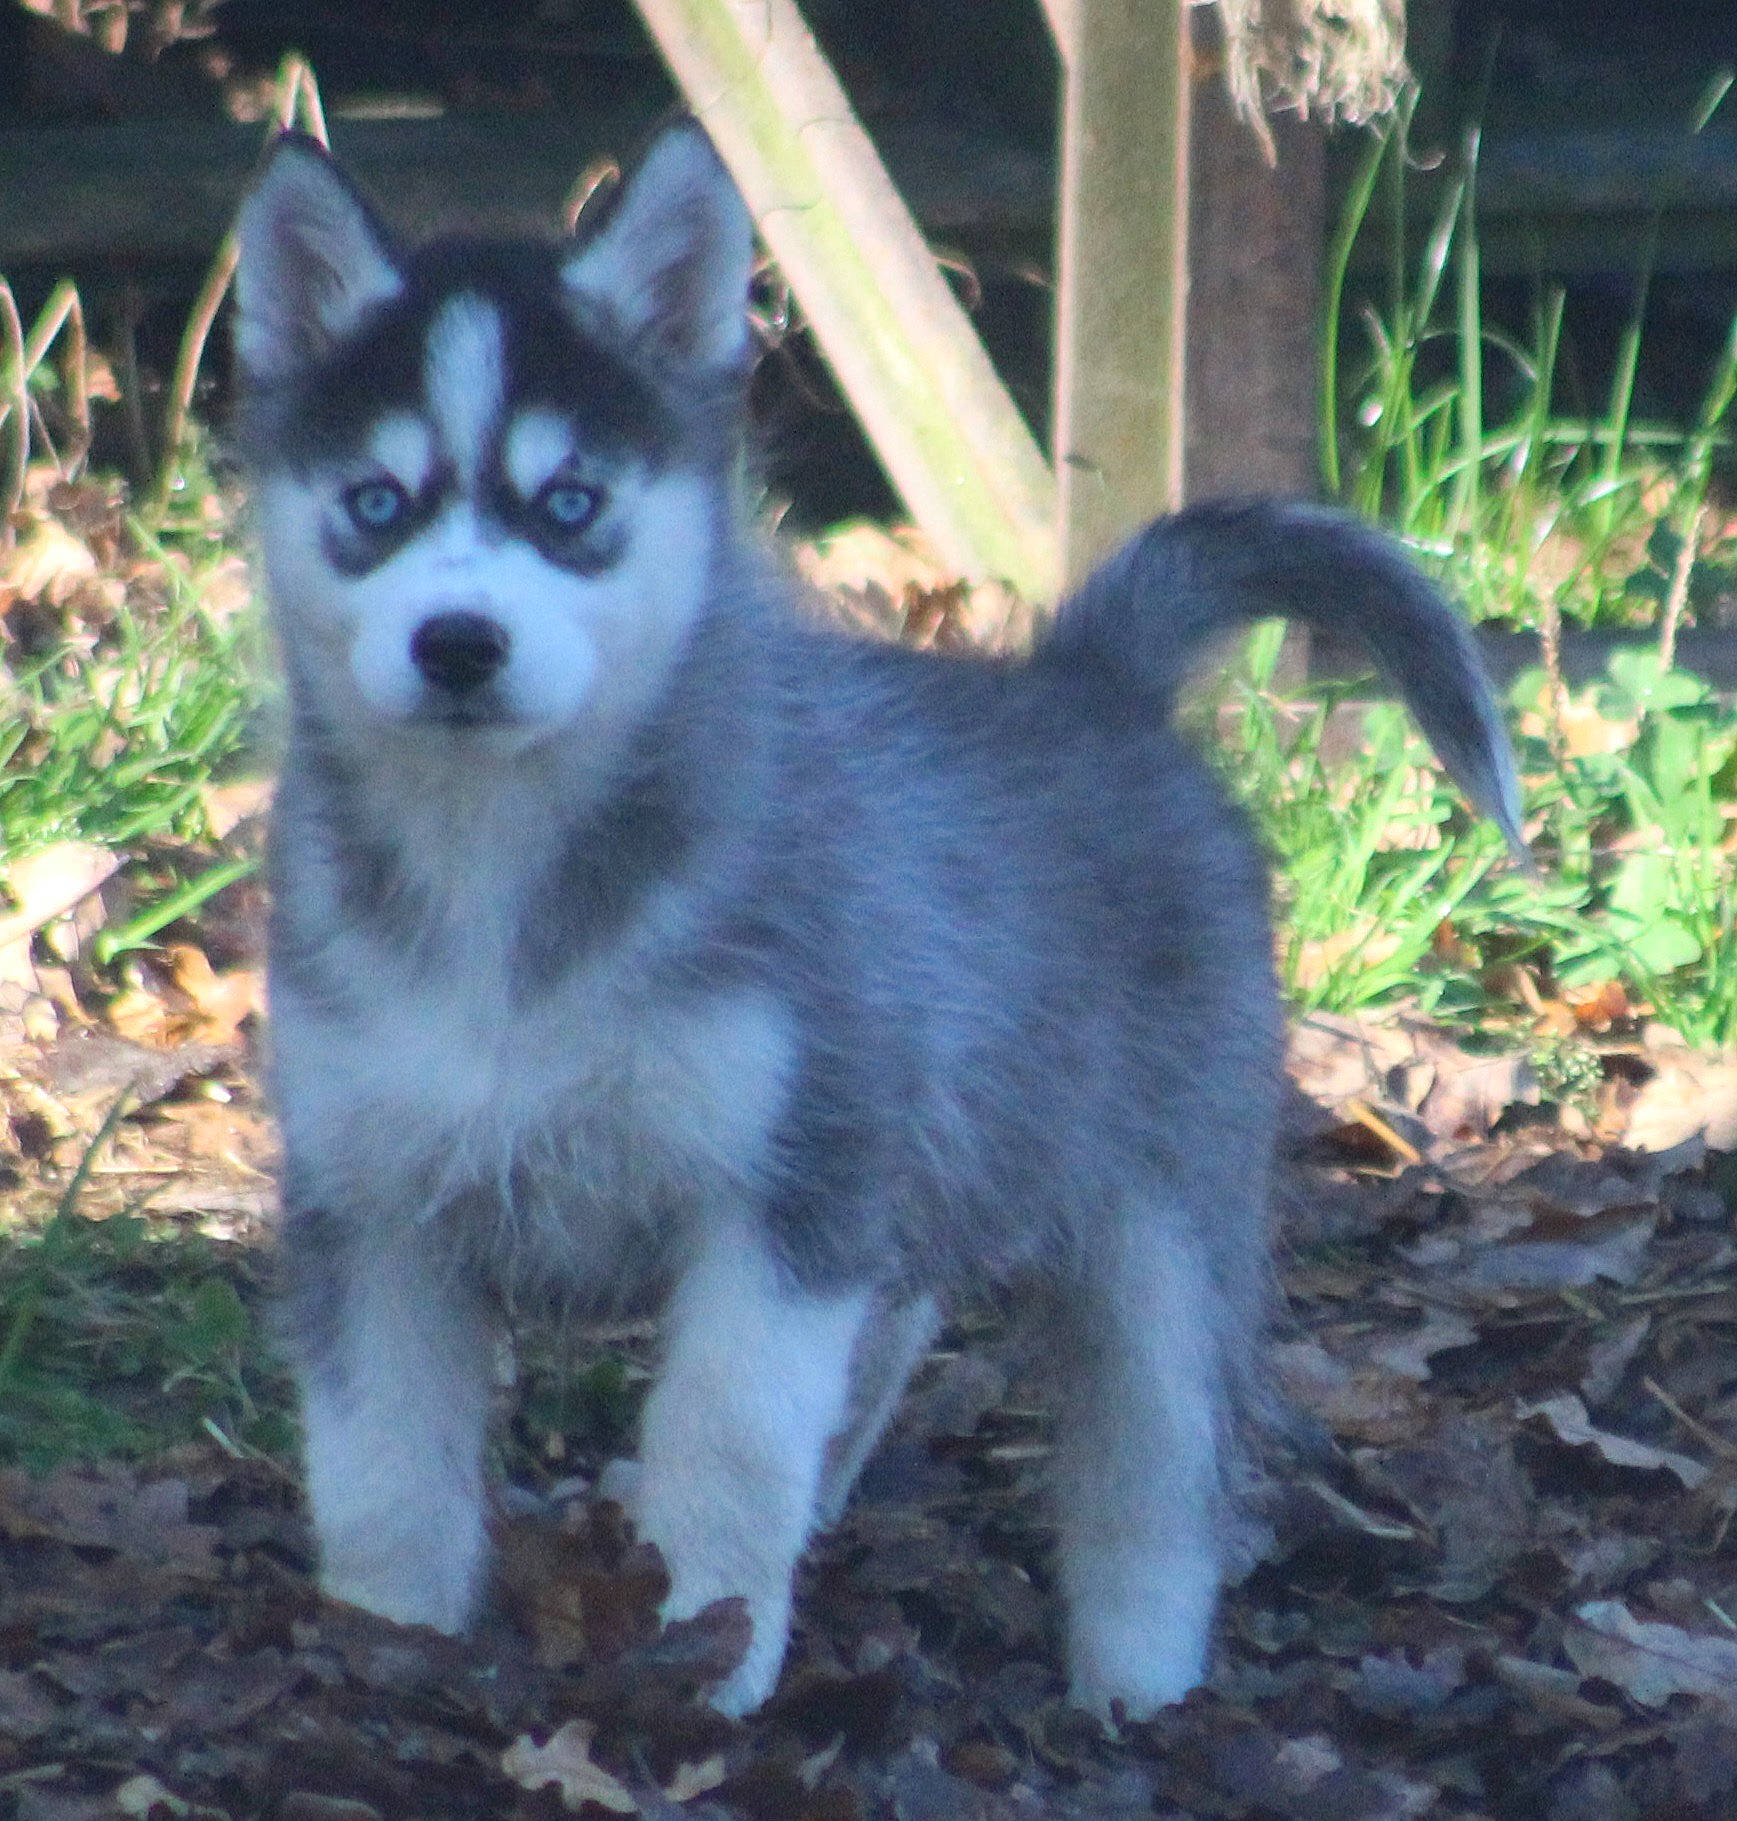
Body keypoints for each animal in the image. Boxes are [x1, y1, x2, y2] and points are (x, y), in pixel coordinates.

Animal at [233, 120, 1523, 1719]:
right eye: (377, 504)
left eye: (571, 505)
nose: (458, 642)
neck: (500, 884)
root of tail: (1087, 681)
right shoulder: (371, 1203)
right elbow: (381, 1471)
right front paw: (384, 1657)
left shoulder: (787, 1194)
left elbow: (727, 1441)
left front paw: (705, 1660)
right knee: (900, 1320)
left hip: (1156, 1216)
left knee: (1156, 1464)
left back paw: (1137, 1686)